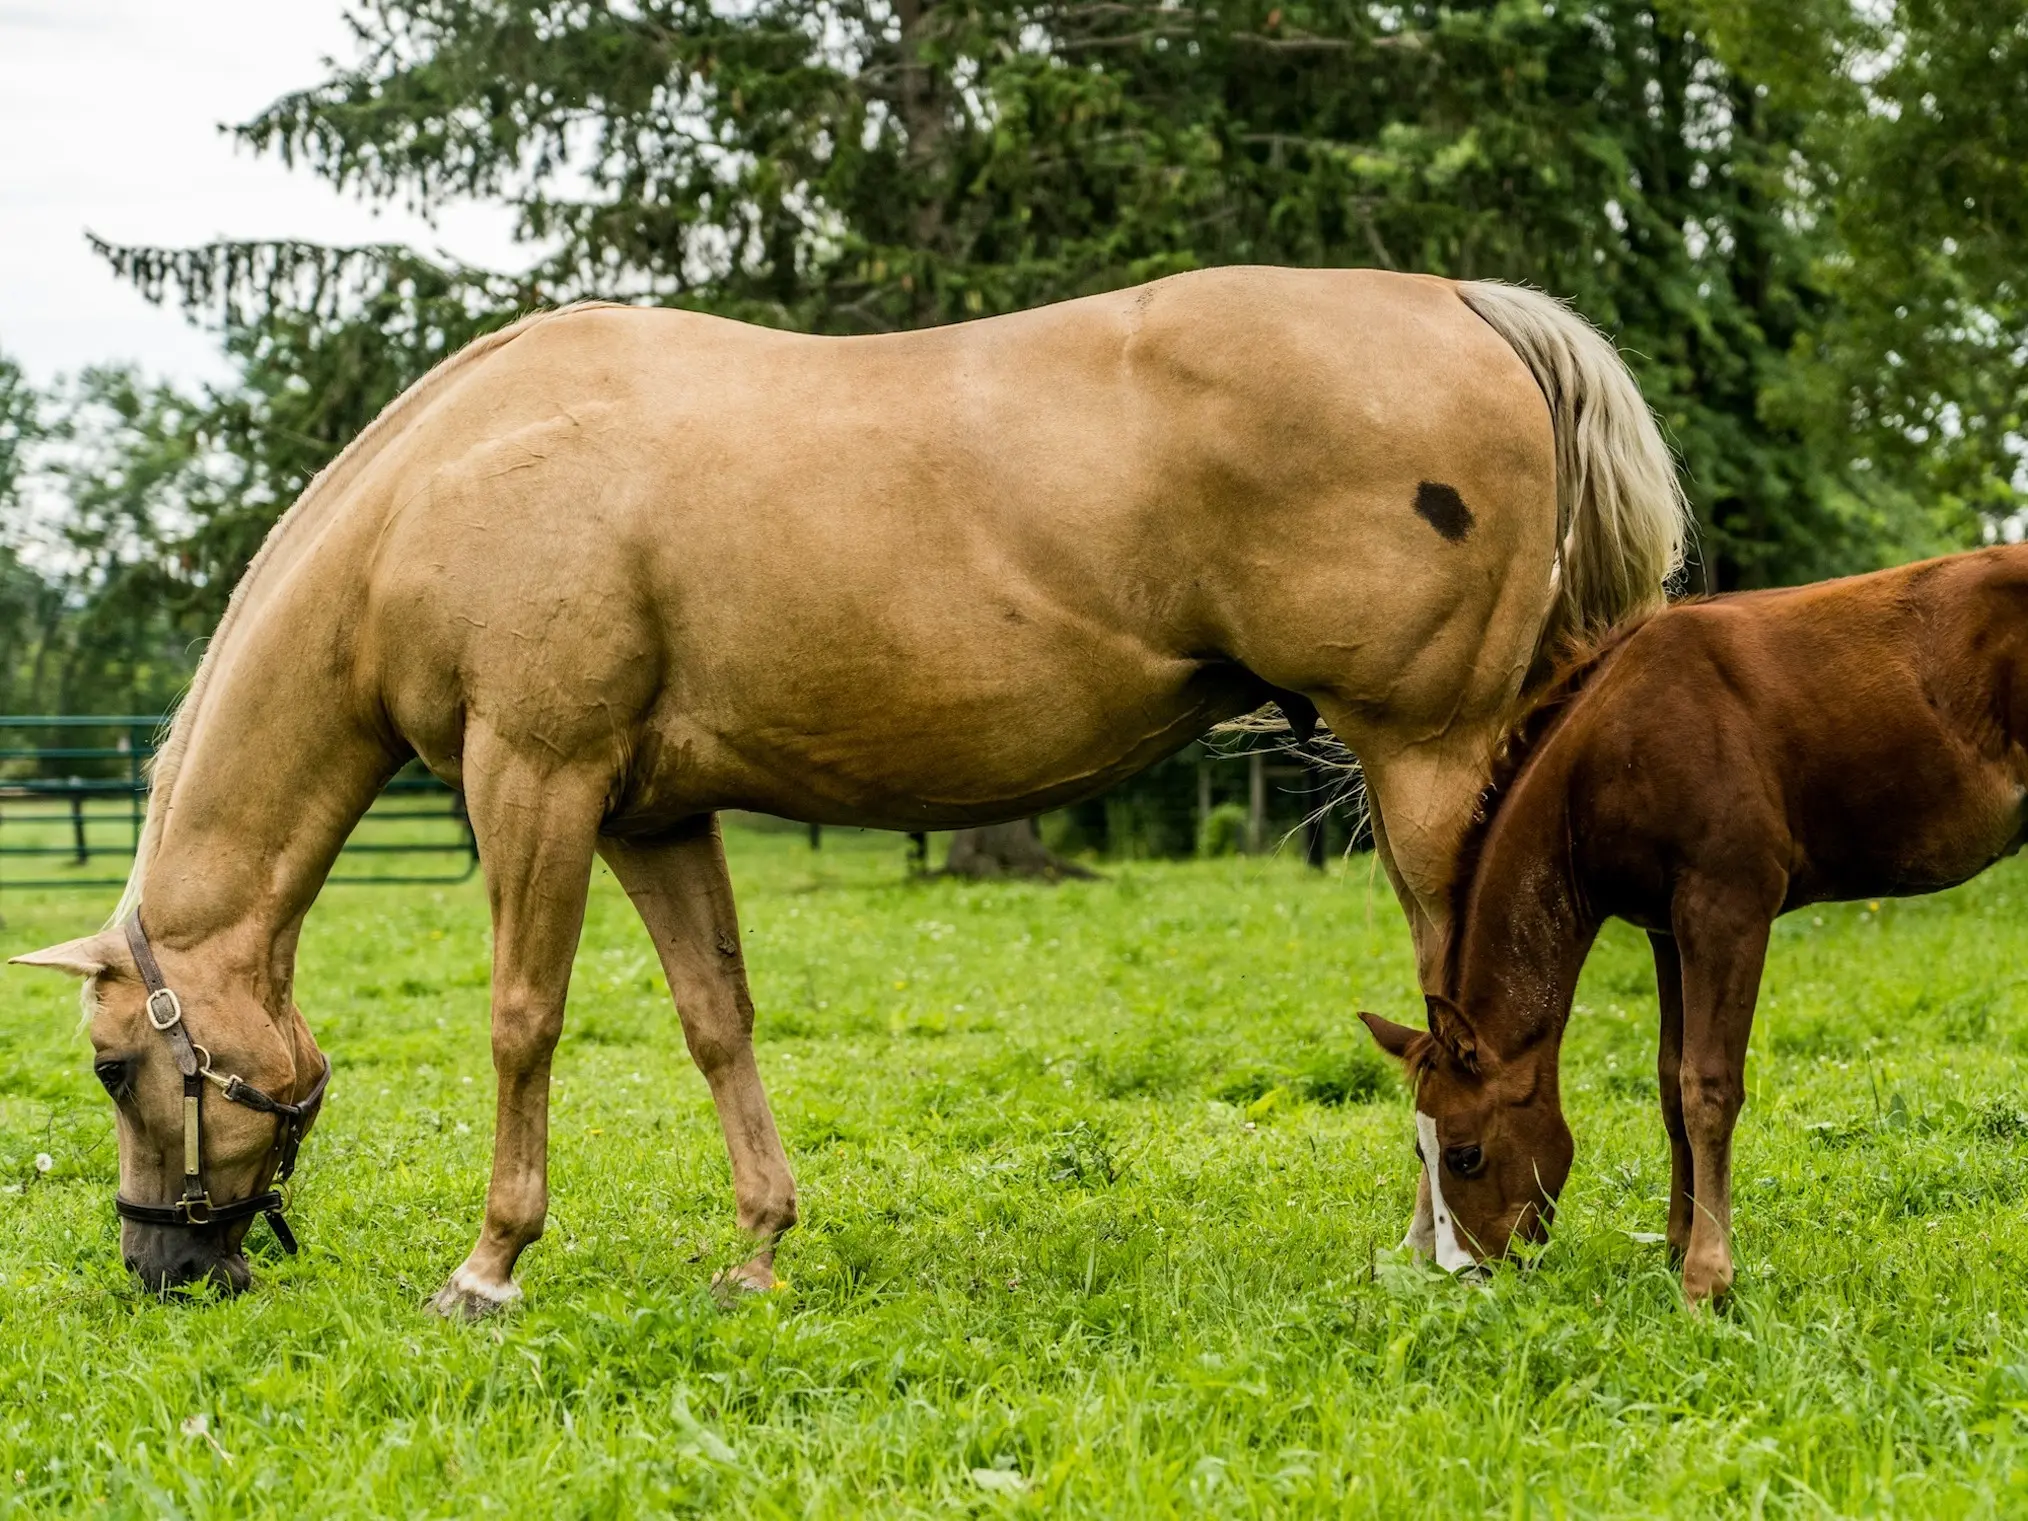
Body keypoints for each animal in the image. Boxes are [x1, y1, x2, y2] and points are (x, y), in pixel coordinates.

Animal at [7, 271, 1687, 1314]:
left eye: (112, 1067)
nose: (161, 1270)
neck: (454, 481)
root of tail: (1468, 308)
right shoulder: (651, 813)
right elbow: (717, 1019)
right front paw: (757, 1251)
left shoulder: (535, 780)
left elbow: (521, 1020)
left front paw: (489, 1267)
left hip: (1423, 759)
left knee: (1459, 1007)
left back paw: (1443, 1242)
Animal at [1354, 551, 2028, 1314]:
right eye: (1421, 1152)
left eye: (1465, 1153)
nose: (1463, 1274)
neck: (1614, 746)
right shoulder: (1666, 927)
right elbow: (1670, 1083)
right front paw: (1676, 1247)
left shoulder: (1725, 905)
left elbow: (1708, 1085)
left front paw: (1707, 1278)